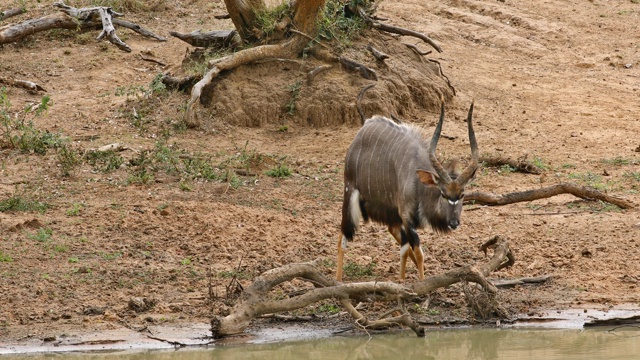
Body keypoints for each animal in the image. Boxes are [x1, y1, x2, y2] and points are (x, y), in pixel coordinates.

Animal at [336, 101, 480, 282]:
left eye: (462, 195)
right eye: (443, 193)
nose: (454, 223)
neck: (418, 183)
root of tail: (364, 126)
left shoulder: (402, 219)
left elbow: (405, 249)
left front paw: (402, 280)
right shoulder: (407, 218)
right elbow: (419, 252)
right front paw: (422, 282)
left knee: (393, 233)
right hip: (350, 195)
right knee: (343, 237)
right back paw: (337, 280)